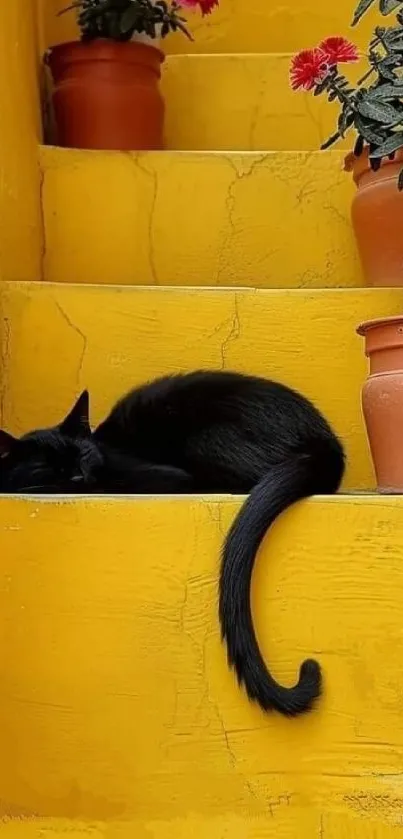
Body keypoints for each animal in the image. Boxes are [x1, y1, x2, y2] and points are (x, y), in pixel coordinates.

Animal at [0, 370, 346, 720]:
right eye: (47, 467)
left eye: (82, 456)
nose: (76, 478)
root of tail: (327, 445)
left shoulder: (160, 476)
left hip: (206, 440)